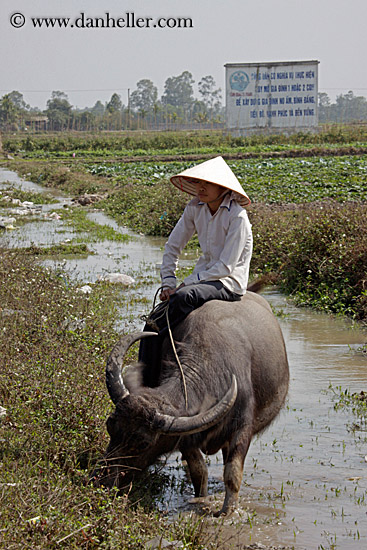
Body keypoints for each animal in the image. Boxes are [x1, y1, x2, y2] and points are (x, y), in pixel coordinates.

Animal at [92, 292, 290, 520]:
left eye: (142, 443)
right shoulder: (186, 436)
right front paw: (200, 500)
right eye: (110, 426)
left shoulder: (242, 428)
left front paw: (227, 511)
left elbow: (232, 474)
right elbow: (199, 471)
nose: (101, 481)